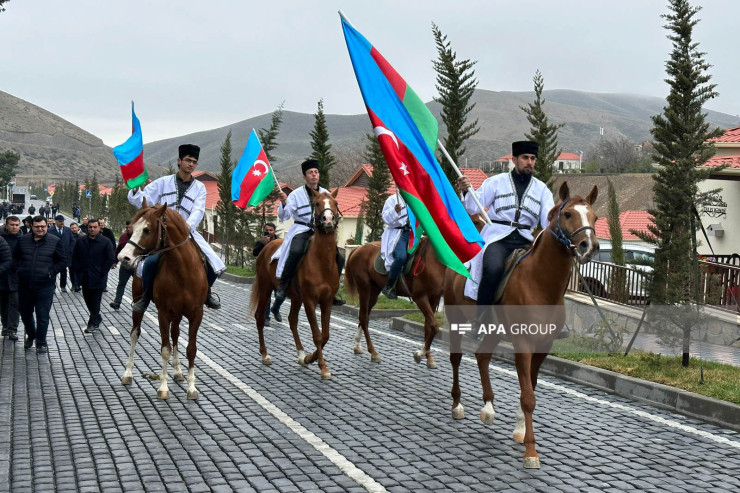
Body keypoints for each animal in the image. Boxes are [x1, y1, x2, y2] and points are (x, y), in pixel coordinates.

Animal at [118, 202, 208, 398]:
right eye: (130, 229)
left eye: (147, 230)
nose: (123, 257)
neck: (183, 271)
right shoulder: (164, 313)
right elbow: (165, 349)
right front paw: (163, 386)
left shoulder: (196, 313)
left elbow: (191, 349)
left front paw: (191, 387)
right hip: (139, 304)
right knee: (135, 333)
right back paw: (128, 373)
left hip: (179, 313)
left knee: (175, 334)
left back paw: (178, 371)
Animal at [249, 188, 342, 380]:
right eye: (317, 204)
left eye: (335, 203)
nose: (328, 220)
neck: (322, 262)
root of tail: (267, 247)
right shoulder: (310, 301)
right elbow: (317, 335)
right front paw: (322, 367)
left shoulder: (327, 301)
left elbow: (325, 335)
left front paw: (310, 358)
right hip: (266, 289)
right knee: (260, 317)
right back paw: (265, 354)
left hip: (296, 297)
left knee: (292, 320)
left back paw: (301, 355)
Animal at [342, 236, 442, 368]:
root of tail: (358, 248)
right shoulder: (420, 297)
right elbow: (434, 326)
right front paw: (420, 354)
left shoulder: (434, 298)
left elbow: (428, 326)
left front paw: (428, 357)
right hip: (364, 289)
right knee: (364, 318)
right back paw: (373, 353)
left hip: (374, 291)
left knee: (363, 316)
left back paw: (357, 345)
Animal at [442, 182, 600, 468]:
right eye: (568, 214)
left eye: (594, 217)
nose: (589, 246)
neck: (540, 282)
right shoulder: (523, 343)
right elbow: (528, 397)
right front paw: (531, 450)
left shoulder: (543, 345)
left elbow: (531, 387)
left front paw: (519, 430)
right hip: (456, 319)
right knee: (457, 358)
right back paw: (457, 405)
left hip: (494, 331)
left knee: (482, 356)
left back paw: (488, 409)